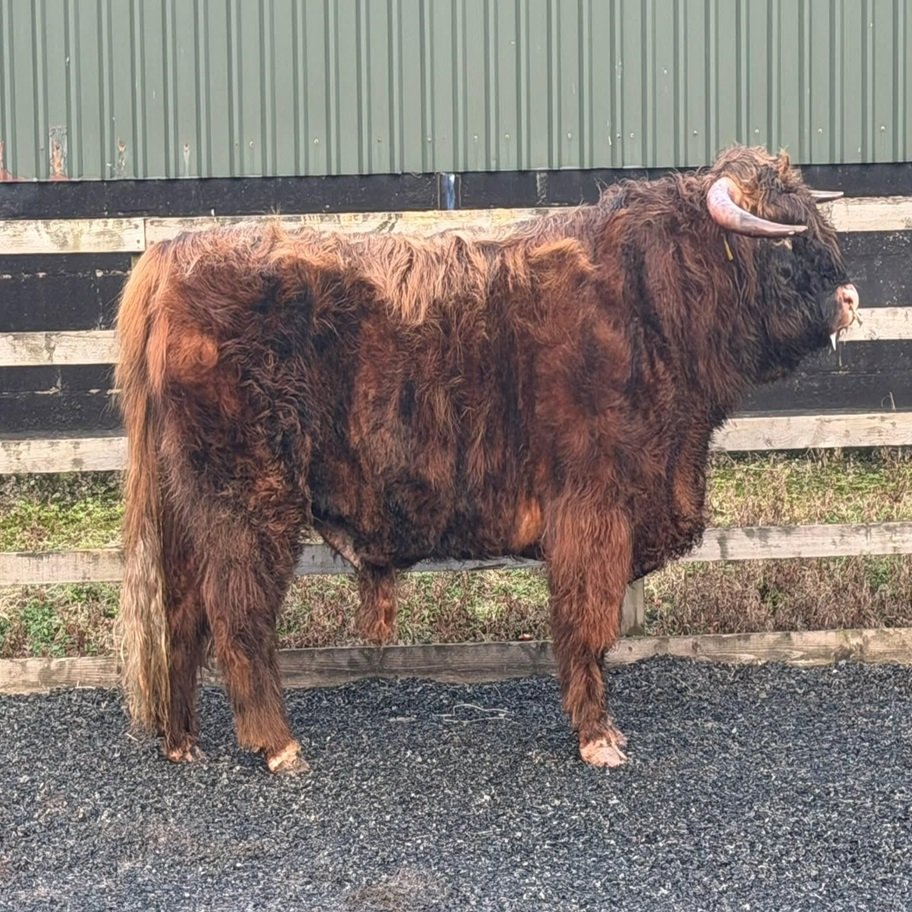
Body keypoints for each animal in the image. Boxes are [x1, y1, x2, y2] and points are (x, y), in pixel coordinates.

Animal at [116, 146, 858, 774]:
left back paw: (182, 742)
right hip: (249, 501)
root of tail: (178, 252)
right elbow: (588, 625)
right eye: (786, 243)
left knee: (181, 613)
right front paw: (597, 738)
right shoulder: (593, 511)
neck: (650, 309)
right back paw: (277, 746)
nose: (850, 298)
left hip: (191, 506)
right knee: (237, 615)